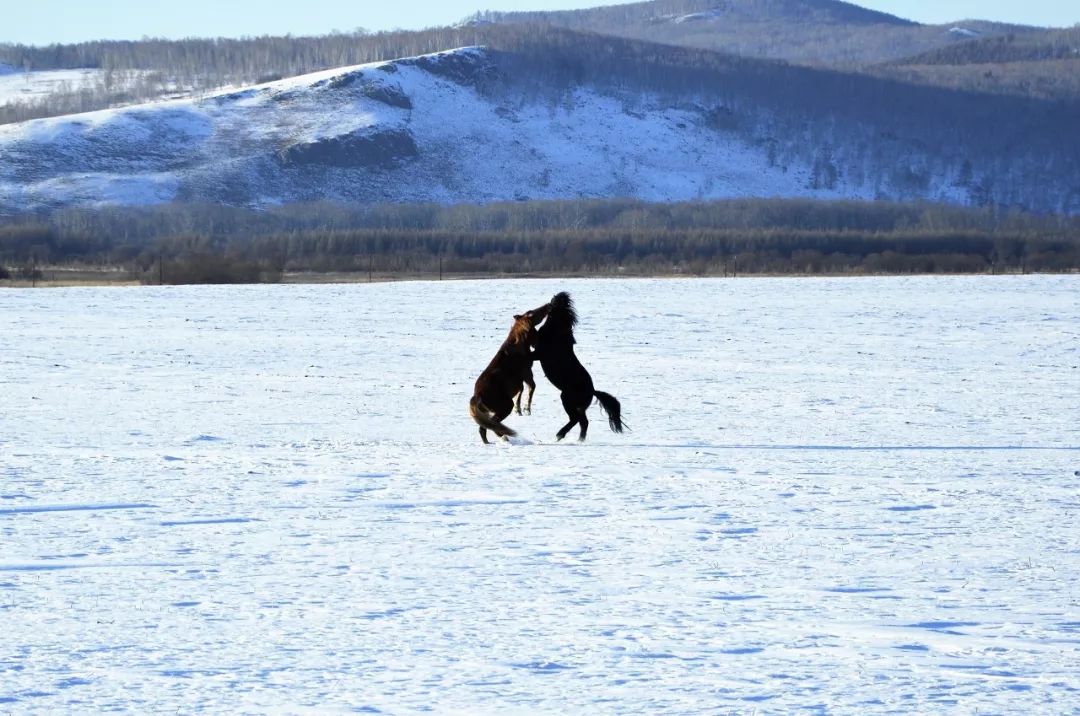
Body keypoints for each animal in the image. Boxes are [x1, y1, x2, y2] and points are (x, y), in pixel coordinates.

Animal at [466, 304, 548, 444]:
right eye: (532, 313)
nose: (549, 305)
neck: (520, 345)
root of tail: (477, 396)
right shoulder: (527, 373)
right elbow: (531, 387)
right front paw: (527, 409)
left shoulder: (519, 381)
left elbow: (521, 391)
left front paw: (519, 410)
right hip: (504, 406)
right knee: (493, 424)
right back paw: (504, 437)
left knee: (484, 428)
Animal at [531, 291, 626, 442]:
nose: (558, 296)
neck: (557, 330)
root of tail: (592, 391)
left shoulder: (538, 353)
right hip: (578, 406)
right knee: (583, 422)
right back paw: (578, 439)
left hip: (567, 400)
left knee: (576, 420)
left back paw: (560, 435)